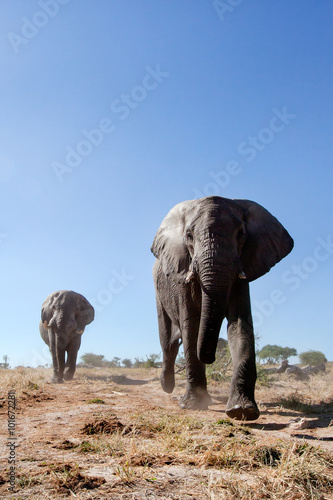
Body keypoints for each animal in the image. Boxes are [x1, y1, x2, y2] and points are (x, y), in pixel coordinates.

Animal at [151, 197, 294, 420]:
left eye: (241, 234)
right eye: (189, 236)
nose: (211, 357)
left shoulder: (242, 271)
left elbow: (240, 326)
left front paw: (242, 410)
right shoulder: (182, 275)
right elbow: (191, 327)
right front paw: (193, 405)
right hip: (159, 292)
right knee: (168, 341)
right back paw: (166, 385)